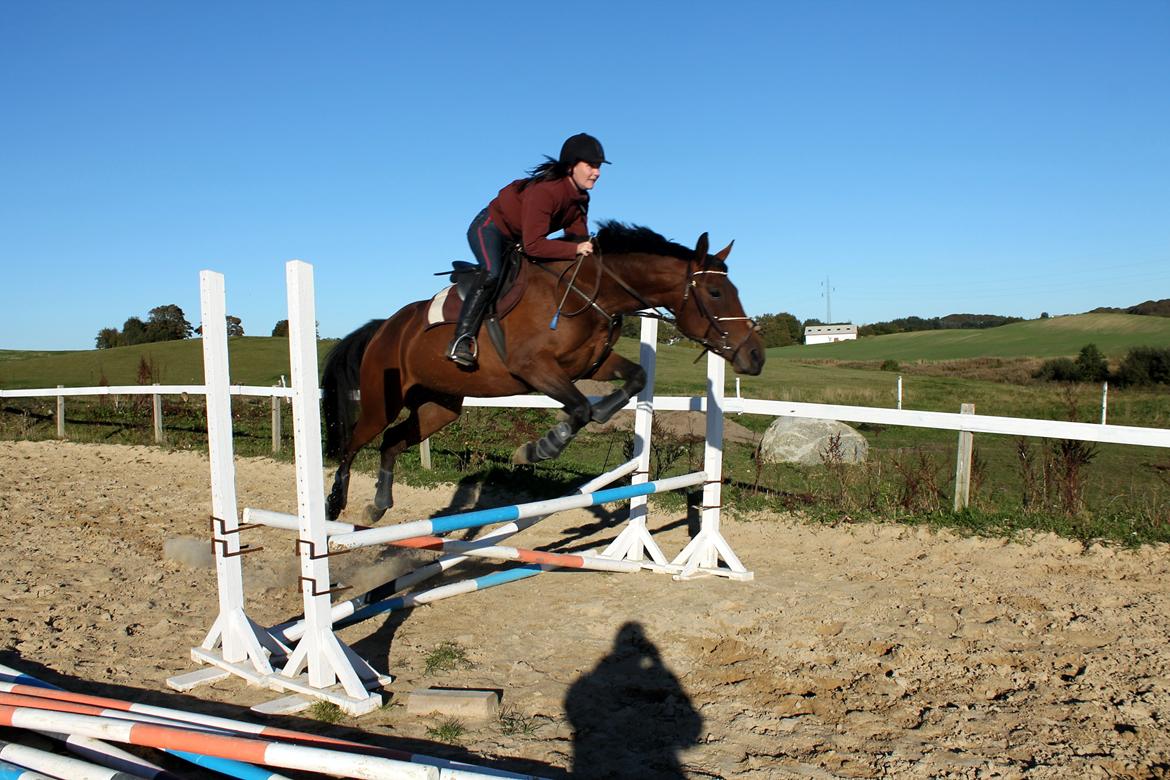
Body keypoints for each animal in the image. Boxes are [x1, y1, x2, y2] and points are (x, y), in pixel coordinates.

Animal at [318, 219, 767, 523]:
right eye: (715, 292)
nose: (756, 356)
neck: (588, 292)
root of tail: (385, 327)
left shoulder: (593, 364)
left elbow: (633, 379)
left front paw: (594, 418)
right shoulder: (534, 369)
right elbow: (580, 408)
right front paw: (541, 448)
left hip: (437, 408)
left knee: (392, 442)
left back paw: (378, 506)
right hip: (381, 401)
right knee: (353, 444)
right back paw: (333, 504)